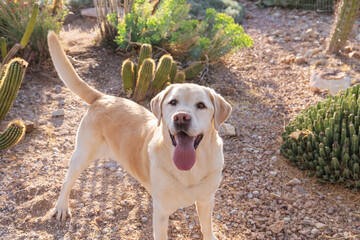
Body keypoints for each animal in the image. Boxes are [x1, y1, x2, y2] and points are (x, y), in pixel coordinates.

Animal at [47, 31, 231, 240]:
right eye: (173, 102)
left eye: (201, 105)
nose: (181, 118)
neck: (191, 170)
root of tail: (102, 97)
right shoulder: (161, 213)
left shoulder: (206, 201)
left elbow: (207, 227)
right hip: (82, 155)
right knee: (66, 181)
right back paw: (62, 207)